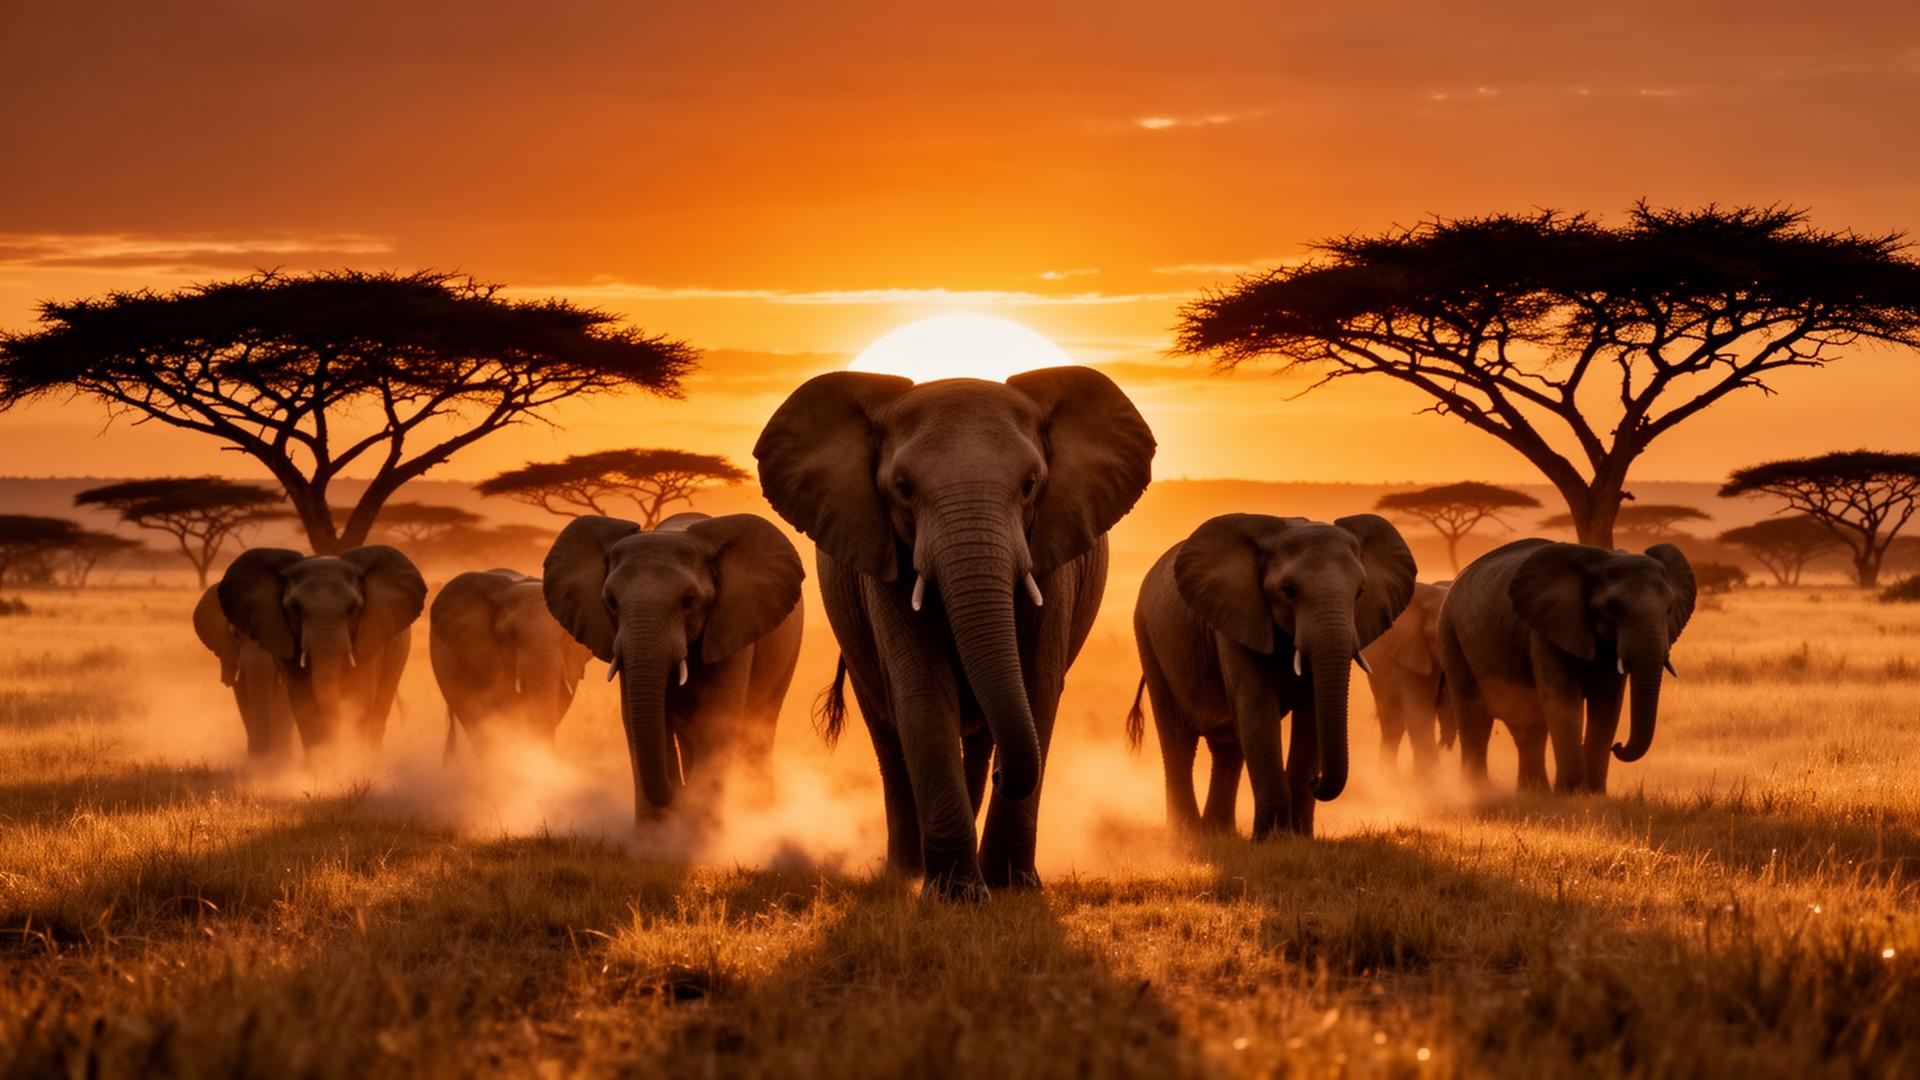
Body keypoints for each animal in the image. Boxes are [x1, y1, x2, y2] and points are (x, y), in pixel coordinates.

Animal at [216, 545, 426, 756]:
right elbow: (304, 704)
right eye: (295, 608)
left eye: (353, 608)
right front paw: (322, 763)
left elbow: (360, 696)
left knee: (379, 713)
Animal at [542, 511, 804, 825]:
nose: (678, 790)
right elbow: (635, 719)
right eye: (611, 602)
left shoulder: (732, 628)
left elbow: (717, 718)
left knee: (761, 725)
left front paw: (695, 832)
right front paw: (658, 834)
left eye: (689, 601)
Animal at [756, 366, 1156, 897]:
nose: (1009, 775)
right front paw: (957, 896)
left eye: (1030, 485)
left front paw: (1012, 888)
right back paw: (905, 873)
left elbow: (1036, 686)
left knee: (984, 734)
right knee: (888, 737)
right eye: (903, 488)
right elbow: (923, 692)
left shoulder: (1054, 553)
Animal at [1127, 514, 1416, 839]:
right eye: (1288, 590)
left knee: (1227, 748)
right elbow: (1257, 706)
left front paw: (1298, 838)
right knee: (1178, 741)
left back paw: (1220, 833)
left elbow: (1311, 713)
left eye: (1360, 592)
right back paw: (1188, 836)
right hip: (1148, 638)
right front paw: (1271, 840)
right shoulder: (1235, 619)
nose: (1316, 781)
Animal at [1438, 539, 1696, 794]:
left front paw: (1593, 795)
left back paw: (1533, 792)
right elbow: (1563, 701)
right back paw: (1477, 789)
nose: (1618, 746)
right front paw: (1571, 795)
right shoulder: (1545, 631)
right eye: (1613, 608)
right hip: (1450, 635)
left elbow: (1608, 704)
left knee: (1527, 725)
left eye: (1670, 608)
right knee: (1475, 720)